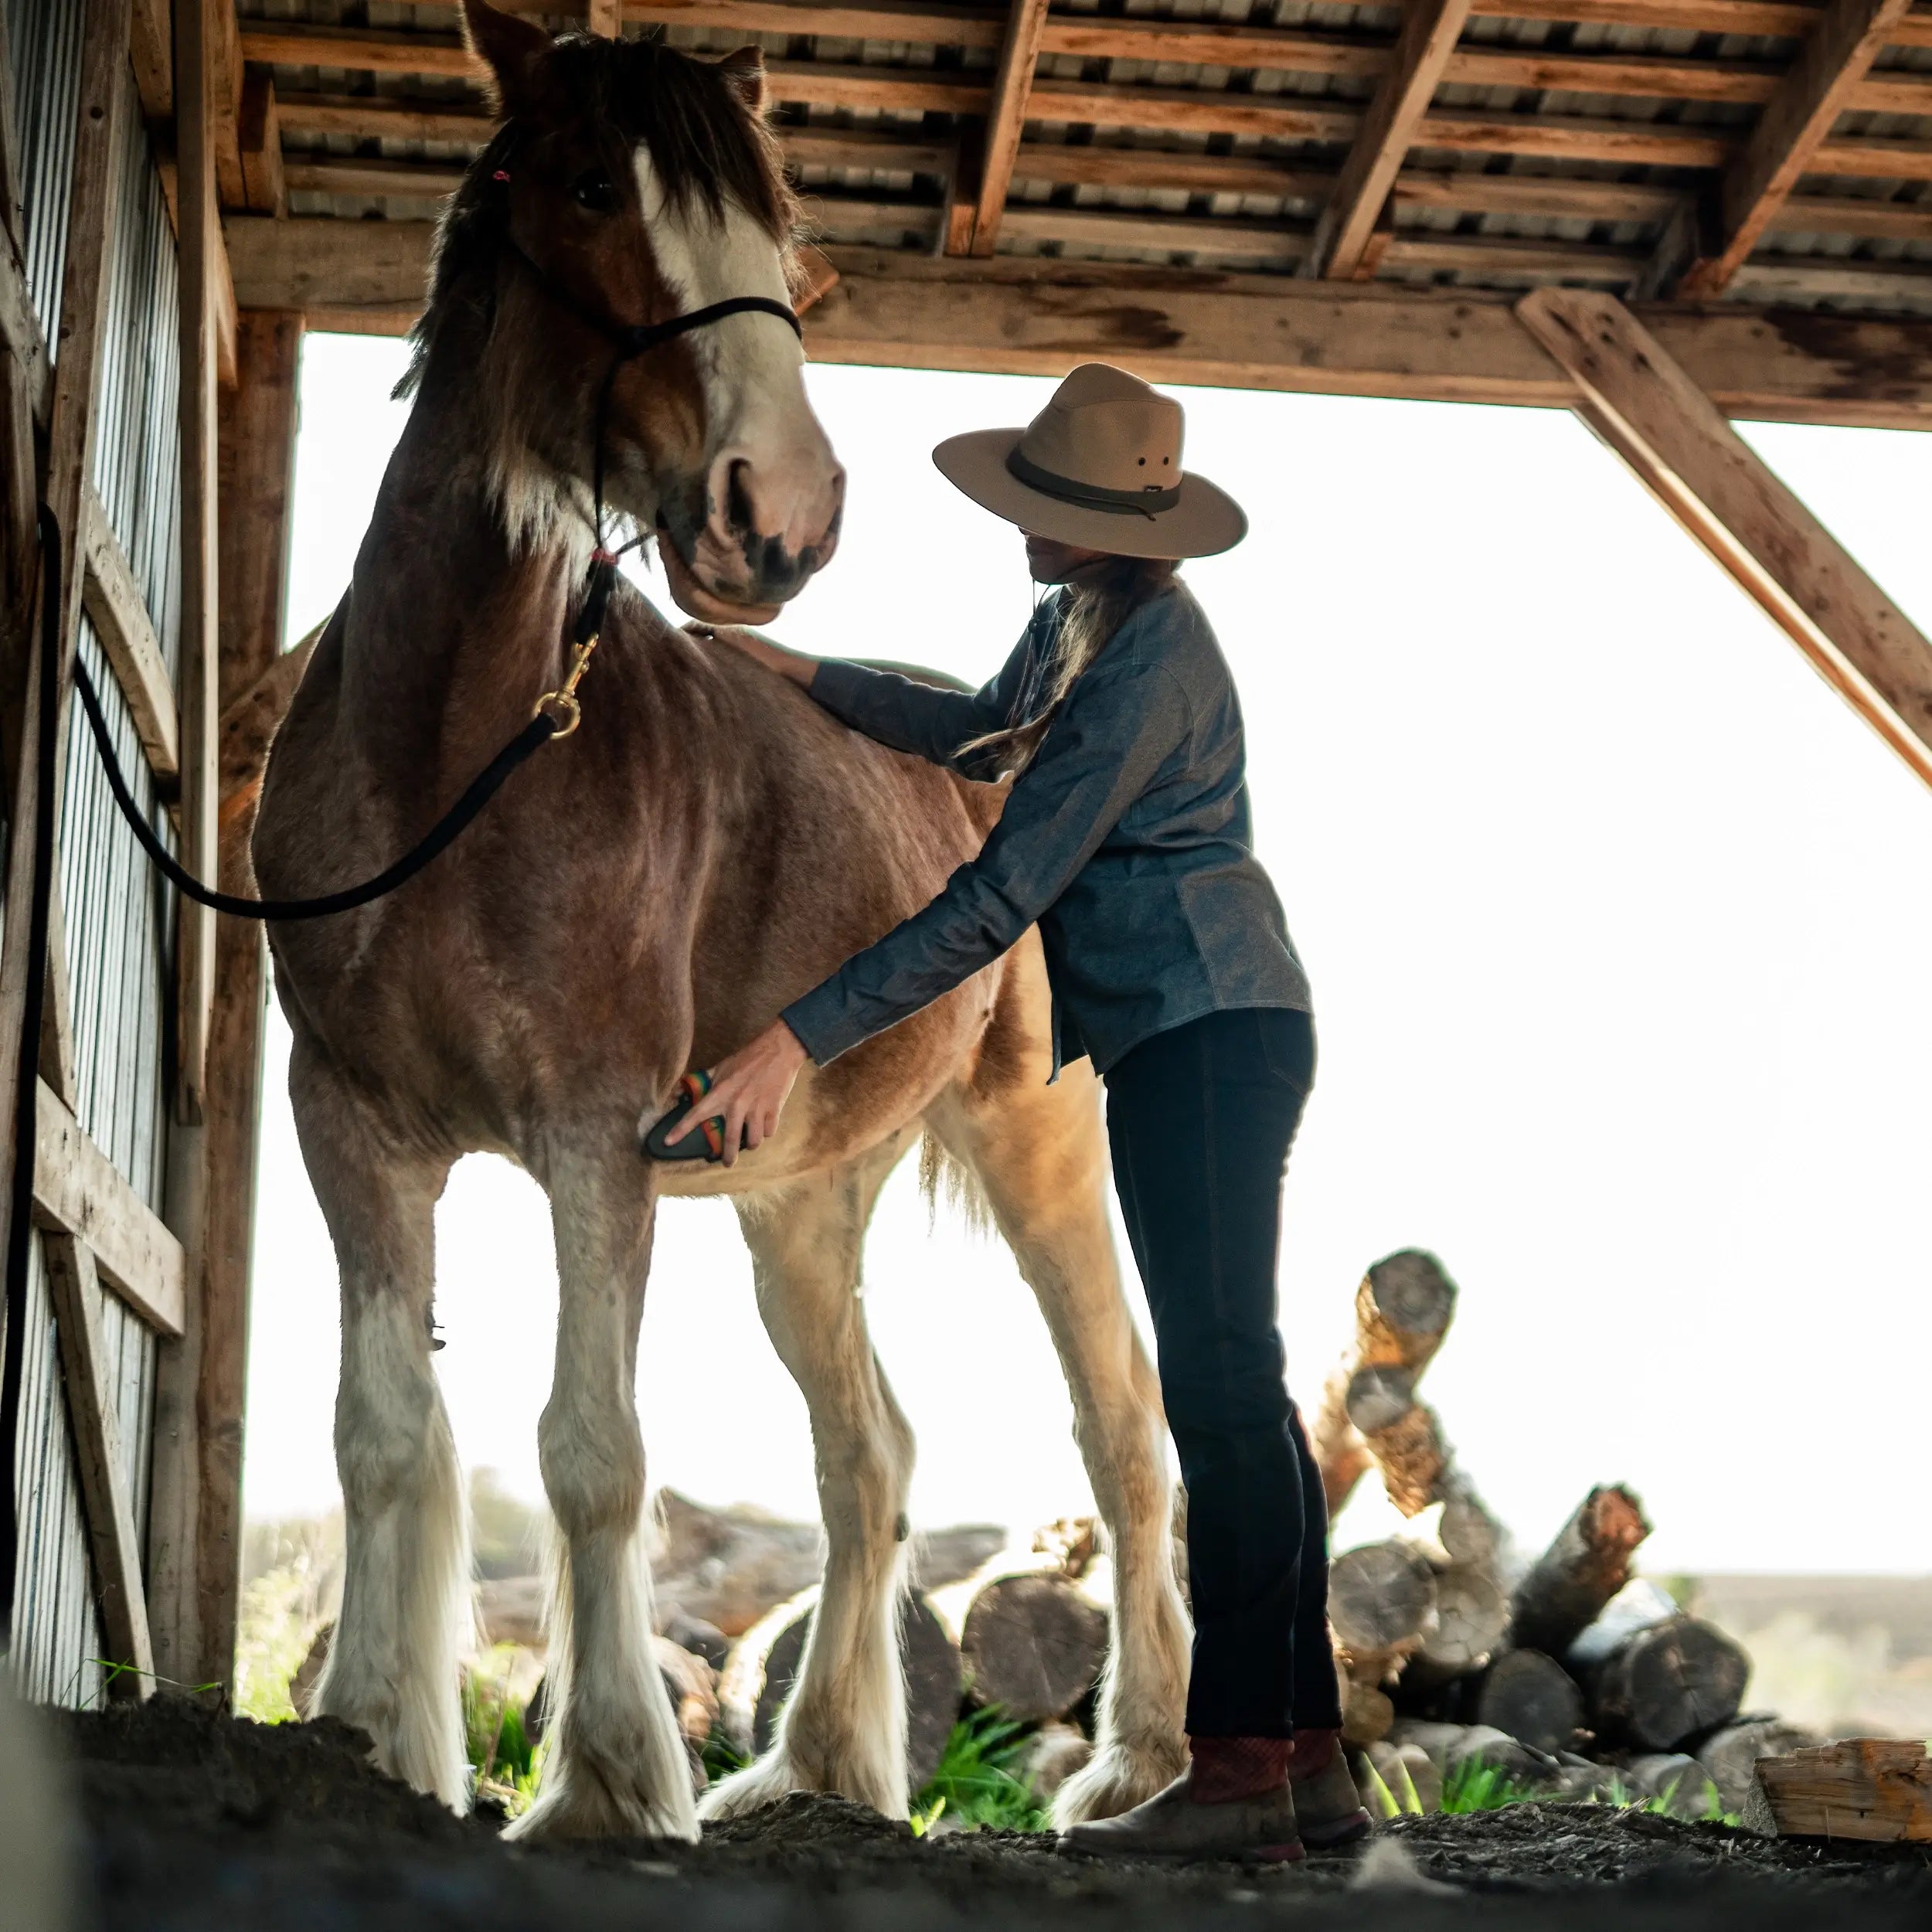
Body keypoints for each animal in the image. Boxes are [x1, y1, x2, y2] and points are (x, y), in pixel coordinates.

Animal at [253, 0, 1190, 1839]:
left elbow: (590, 1455)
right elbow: (386, 1430)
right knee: (866, 1455)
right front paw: (378, 1734)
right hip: (801, 1205)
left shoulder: (590, 1141)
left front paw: (611, 1779)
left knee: (1120, 1429)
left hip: (1041, 1145)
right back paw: (817, 1763)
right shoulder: (352, 1128)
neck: (449, 754)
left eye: (785, 245)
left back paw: (1134, 1761)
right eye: (586, 192)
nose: (785, 513)